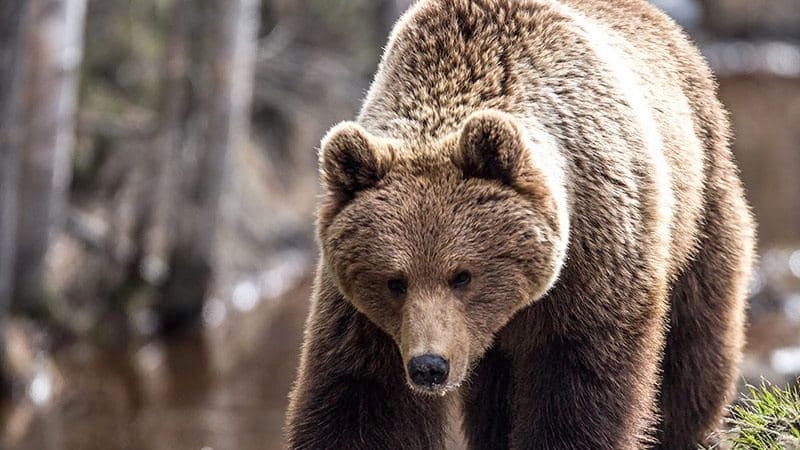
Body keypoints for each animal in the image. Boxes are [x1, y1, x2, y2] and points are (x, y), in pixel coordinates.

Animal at [286, 1, 756, 448]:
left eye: (463, 275)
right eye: (394, 281)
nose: (429, 367)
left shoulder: (593, 257)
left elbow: (578, 378)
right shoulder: (364, 316)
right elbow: (364, 395)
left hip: (699, 198)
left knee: (694, 338)